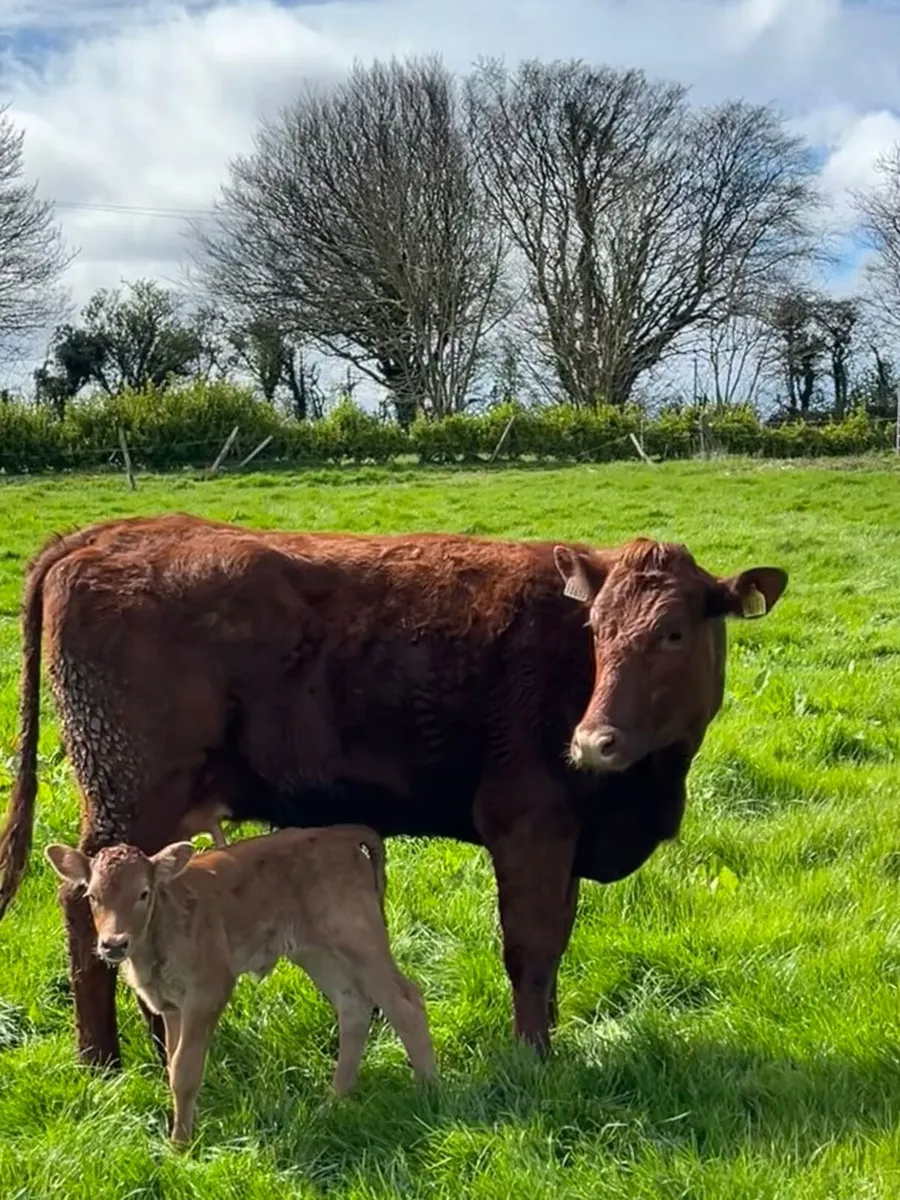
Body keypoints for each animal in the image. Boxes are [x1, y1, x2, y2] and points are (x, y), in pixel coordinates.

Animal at [0, 513, 788, 1068]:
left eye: (674, 634)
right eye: (595, 628)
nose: (593, 742)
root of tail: (104, 533)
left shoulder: (565, 841)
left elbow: (557, 942)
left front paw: (553, 1040)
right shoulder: (529, 824)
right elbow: (530, 949)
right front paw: (533, 1060)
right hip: (128, 795)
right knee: (84, 908)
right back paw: (102, 1061)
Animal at [44, 825, 436, 1145]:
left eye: (143, 893)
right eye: (93, 896)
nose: (113, 944)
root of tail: (341, 835)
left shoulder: (207, 992)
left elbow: (185, 1070)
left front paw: (180, 1147)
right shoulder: (170, 1005)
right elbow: (173, 1065)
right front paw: (181, 1133)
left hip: (358, 939)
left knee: (405, 1001)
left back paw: (429, 1093)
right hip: (316, 951)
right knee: (352, 1004)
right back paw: (335, 1100)